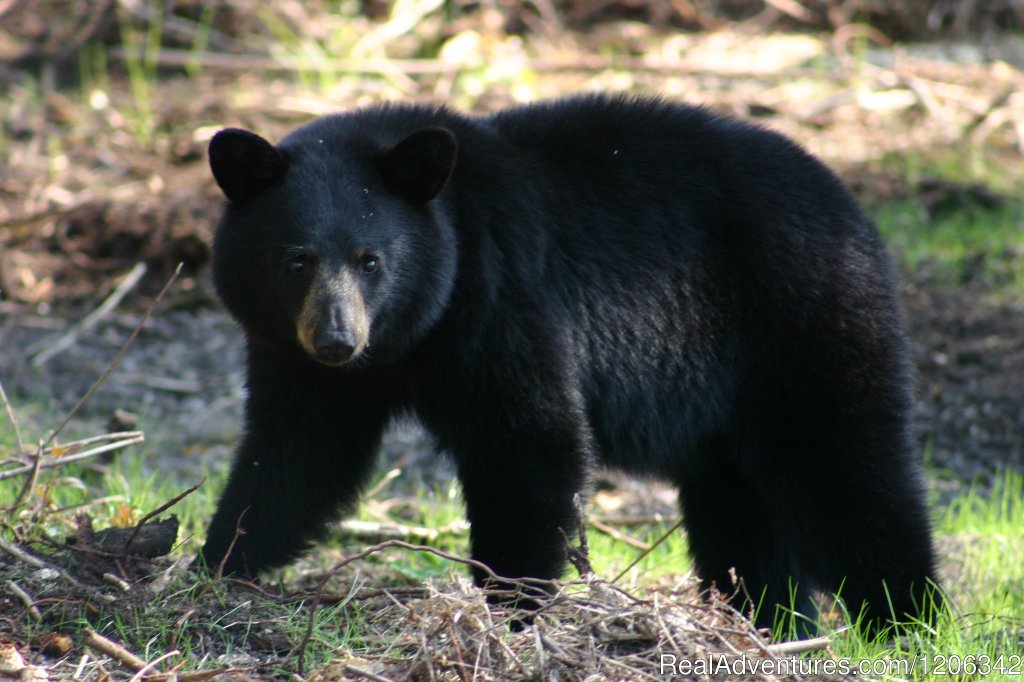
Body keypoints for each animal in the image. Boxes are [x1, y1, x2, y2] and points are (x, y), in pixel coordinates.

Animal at [195, 94, 937, 630]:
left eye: (370, 260)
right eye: (297, 260)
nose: (336, 340)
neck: (410, 336)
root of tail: (853, 210)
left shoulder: (499, 297)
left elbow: (529, 439)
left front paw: (513, 611)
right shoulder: (293, 354)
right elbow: (298, 454)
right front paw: (216, 564)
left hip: (803, 329)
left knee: (849, 476)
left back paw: (908, 622)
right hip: (730, 415)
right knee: (740, 512)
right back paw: (772, 623)